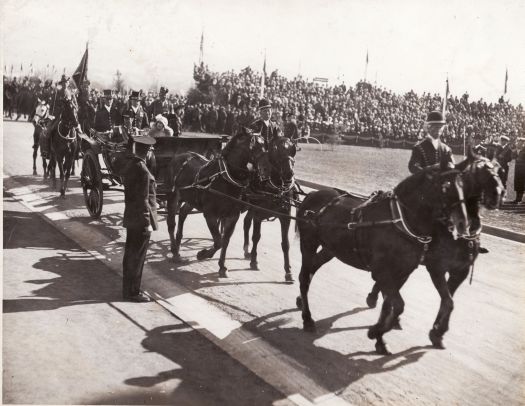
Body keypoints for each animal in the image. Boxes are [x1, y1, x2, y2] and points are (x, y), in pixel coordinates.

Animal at [166, 128, 272, 278]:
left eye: (265, 145)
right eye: (254, 146)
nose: (267, 170)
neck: (225, 178)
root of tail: (179, 156)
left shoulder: (232, 216)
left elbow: (225, 241)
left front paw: (222, 266)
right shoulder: (210, 214)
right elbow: (218, 241)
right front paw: (203, 254)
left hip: (191, 199)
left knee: (182, 213)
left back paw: (178, 242)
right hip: (173, 196)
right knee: (171, 222)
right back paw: (175, 251)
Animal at [243, 136, 296, 282]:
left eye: (293, 148)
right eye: (275, 149)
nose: (289, 173)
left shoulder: (286, 217)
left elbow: (286, 244)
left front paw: (288, 271)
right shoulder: (258, 214)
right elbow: (256, 237)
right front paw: (254, 262)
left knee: (246, 222)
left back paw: (247, 250)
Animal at [292, 167, 468, 354]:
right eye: (446, 186)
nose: (464, 223)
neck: (400, 222)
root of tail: (312, 195)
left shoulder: (402, 273)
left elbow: (389, 304)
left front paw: (380, 338)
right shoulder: (382, 273)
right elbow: (398, 304)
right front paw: (375, 331)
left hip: (330, 249)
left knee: (312, 270)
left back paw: (301, 301)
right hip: (309, 243)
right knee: (304, 277)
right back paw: (307, 318)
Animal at [364, 149, 504, 348]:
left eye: (499, 169)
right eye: (478, 170)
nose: (497, 194)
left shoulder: (460, 271)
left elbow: (449, 300)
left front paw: (438, 331)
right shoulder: (436, 268)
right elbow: (448, 301)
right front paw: (437, 331)